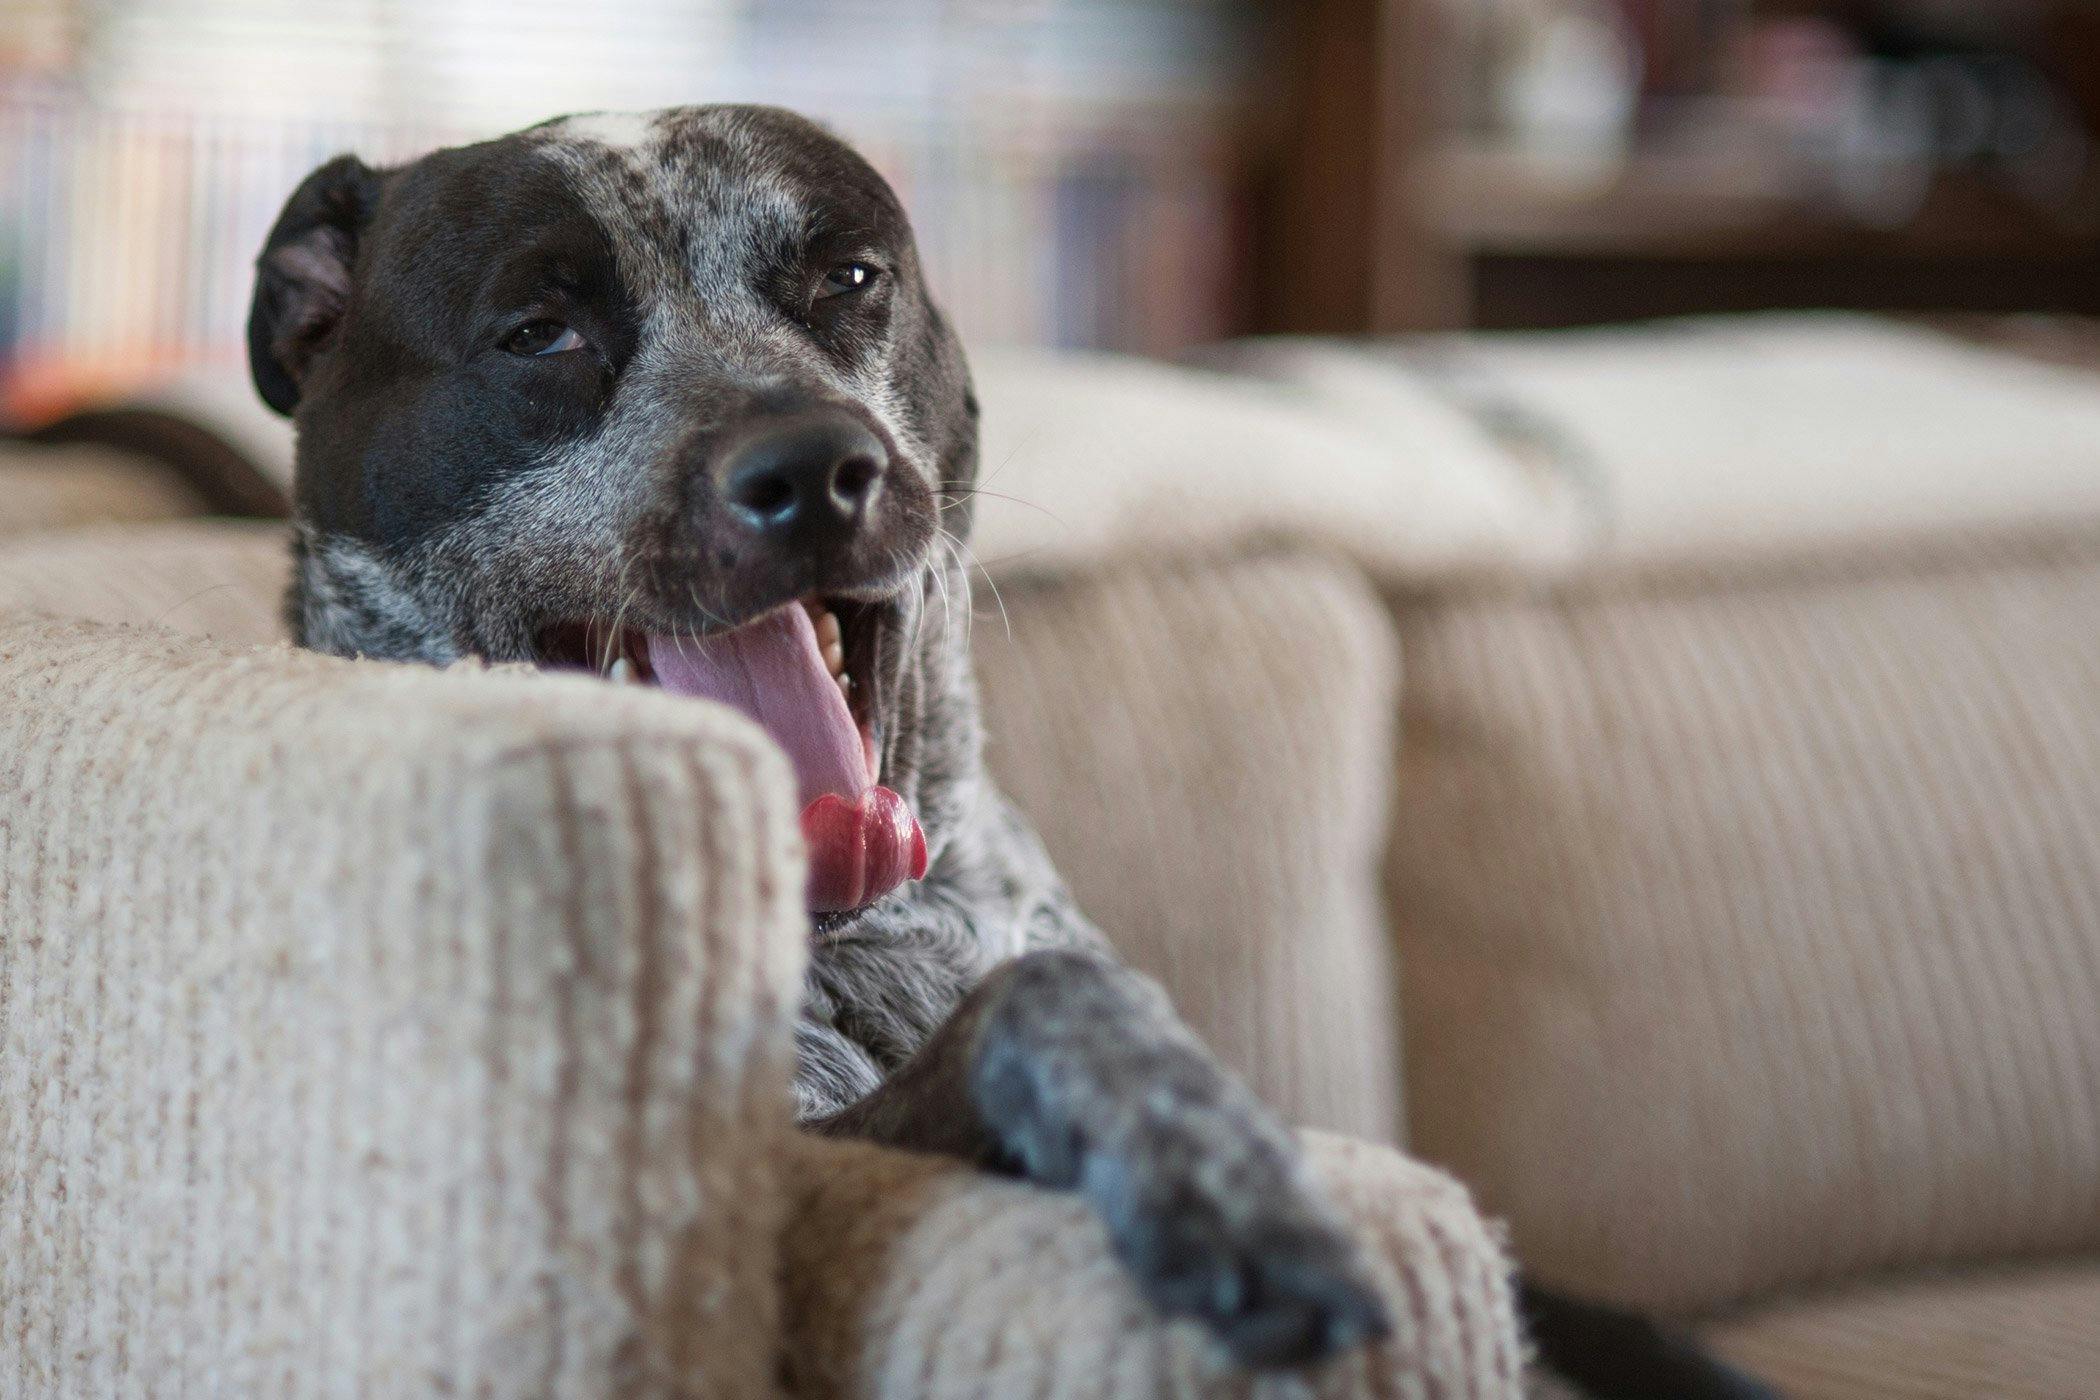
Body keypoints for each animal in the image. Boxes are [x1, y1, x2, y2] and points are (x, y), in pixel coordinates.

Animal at [249, 103, 1772, 1393]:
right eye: (537, 331)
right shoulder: (787, 1161)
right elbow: (1048, 999)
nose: (815, 468)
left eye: (850, 275)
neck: (883, 935)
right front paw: (1222, 1179)